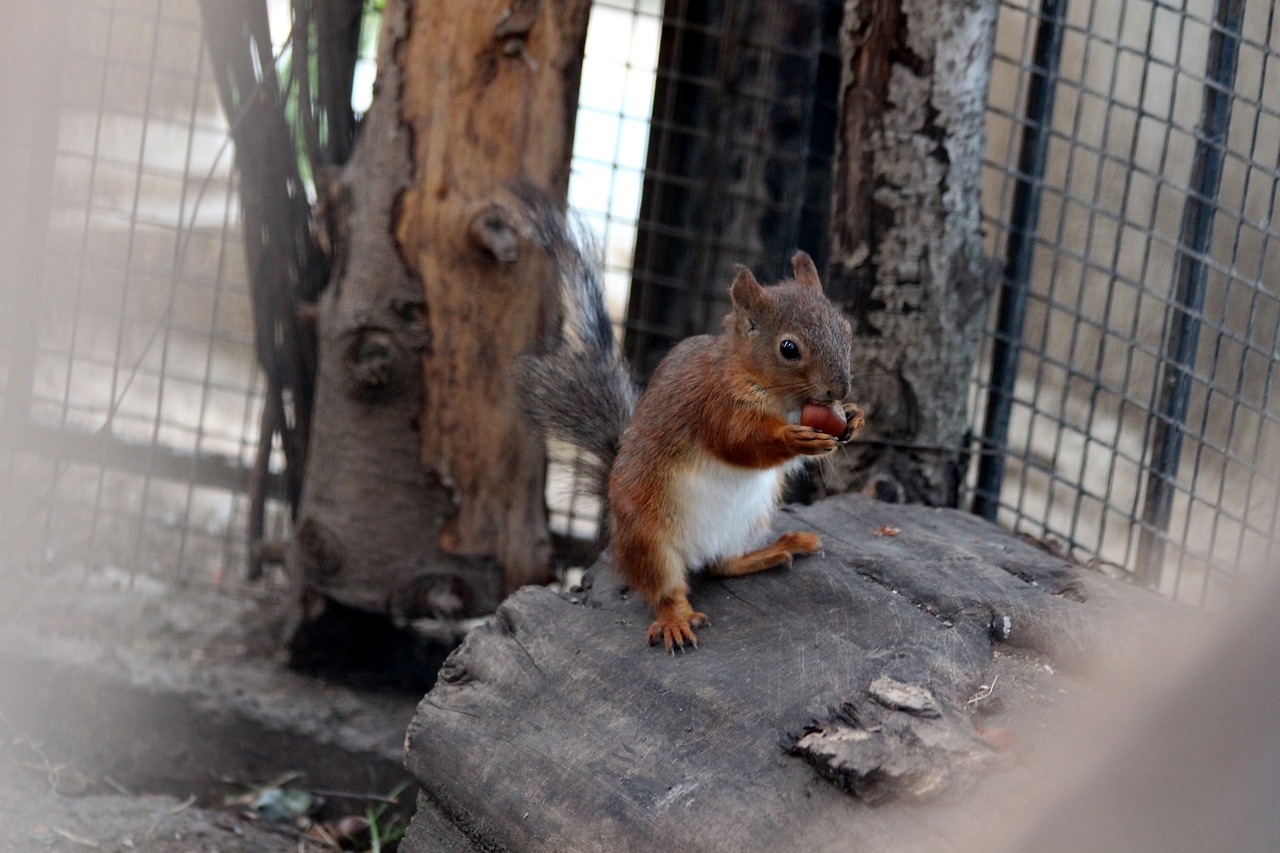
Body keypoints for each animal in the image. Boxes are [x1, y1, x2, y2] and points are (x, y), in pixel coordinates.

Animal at [514, 188, 865, 650]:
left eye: (846, 329)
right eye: (789, 349)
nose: (839, 390)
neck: (777, 396)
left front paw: (855, 419)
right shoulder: (711, 405)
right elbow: (739, 442)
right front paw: (795, 439)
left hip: (749, 519)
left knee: (720, 564)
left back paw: (772, 549)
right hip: (651, 536)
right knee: (666, 587)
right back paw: (675, 619)